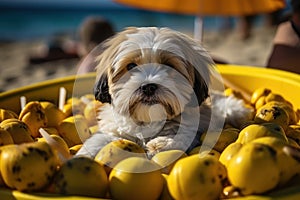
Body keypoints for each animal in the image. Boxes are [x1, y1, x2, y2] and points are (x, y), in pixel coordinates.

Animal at [75, 26, 253, 159]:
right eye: (131, 66)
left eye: (169, 66)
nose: (148, 86)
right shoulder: (115, 129)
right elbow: (99, 140)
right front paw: (83, 156)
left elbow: (180, 137)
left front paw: (161, 143)